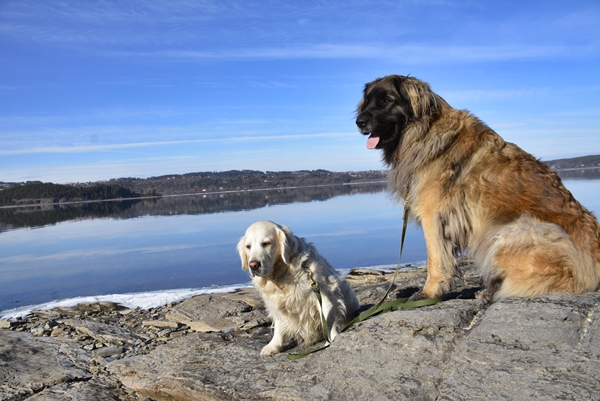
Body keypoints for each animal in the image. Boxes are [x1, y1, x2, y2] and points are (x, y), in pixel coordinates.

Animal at [237, 220, 358, 354]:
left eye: (266, 243)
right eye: (248, 247)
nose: (253, 265)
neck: (281, 274)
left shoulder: (325, 294)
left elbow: (328, 320)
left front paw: (331, 340)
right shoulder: (275, 303)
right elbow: (279, 326)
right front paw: (273, 345)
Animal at [356, 75, 600, 300]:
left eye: (386, 100)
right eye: (367, 102)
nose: (359, 122)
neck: (424, 133)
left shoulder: (432, 217)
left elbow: (435, 260)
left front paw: (429, 292)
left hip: (519, 229)